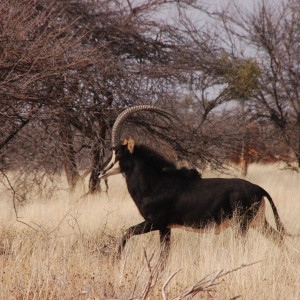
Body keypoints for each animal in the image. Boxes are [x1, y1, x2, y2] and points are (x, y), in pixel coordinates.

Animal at [100, 105, 292, 258]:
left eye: (118, 153)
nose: (101, 172)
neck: (155, 183)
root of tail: (259, 189)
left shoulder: (155, 223)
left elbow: (126, 232)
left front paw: (116, 259)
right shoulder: (165, 228)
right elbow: (164, 255)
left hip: (241, 225)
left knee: (246, 245)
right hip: (257, 223)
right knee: (278, 238)